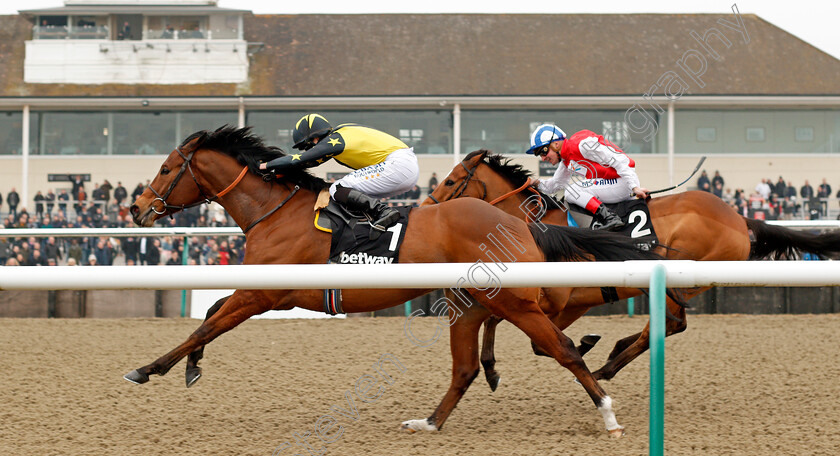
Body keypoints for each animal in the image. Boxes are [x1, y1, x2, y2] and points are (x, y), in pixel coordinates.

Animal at [124, 126, 668, 436]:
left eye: (167, 168)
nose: (137, 208)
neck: (274, 211)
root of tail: (521, 223)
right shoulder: (259, 291)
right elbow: (211, 314)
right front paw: (190, 366)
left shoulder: (263, 292)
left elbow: (206, 324)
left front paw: (149, 369)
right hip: (473, 302)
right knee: (468, 367)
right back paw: (428, 422)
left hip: (515, 303)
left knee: (563, 350)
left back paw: (607, 412)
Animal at [424, 150, 840, 388]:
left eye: (450, 181)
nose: (426, 209)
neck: (536, 225)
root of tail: (740, 218)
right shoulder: (564, 301)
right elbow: (505, 324)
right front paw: (493, 367)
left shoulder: (560, 300)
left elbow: (528, 335)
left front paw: (584, 345)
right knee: (667, 325)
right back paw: (615, 352)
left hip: (682, 275)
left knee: (670, 324)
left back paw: (608, 367)